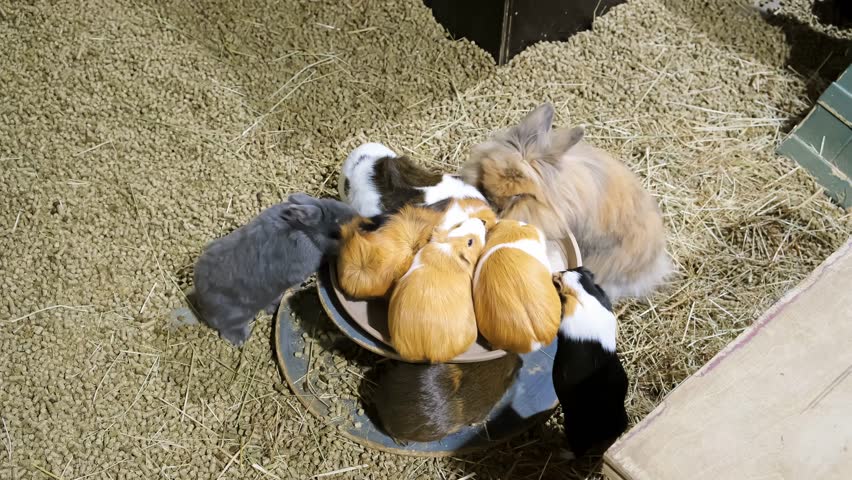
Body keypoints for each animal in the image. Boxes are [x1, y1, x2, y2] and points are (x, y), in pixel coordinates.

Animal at [190, 193, 357, 346]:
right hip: (236, 315)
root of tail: (201, 299)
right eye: (336, 232)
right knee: (227, 328)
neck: (306, 233)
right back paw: (241, 339)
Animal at [551, 266, 629, 459]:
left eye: (557, 281)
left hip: (573, 429)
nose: (554, 273)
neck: (581, 292)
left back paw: (561, 452)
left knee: (577, 452)